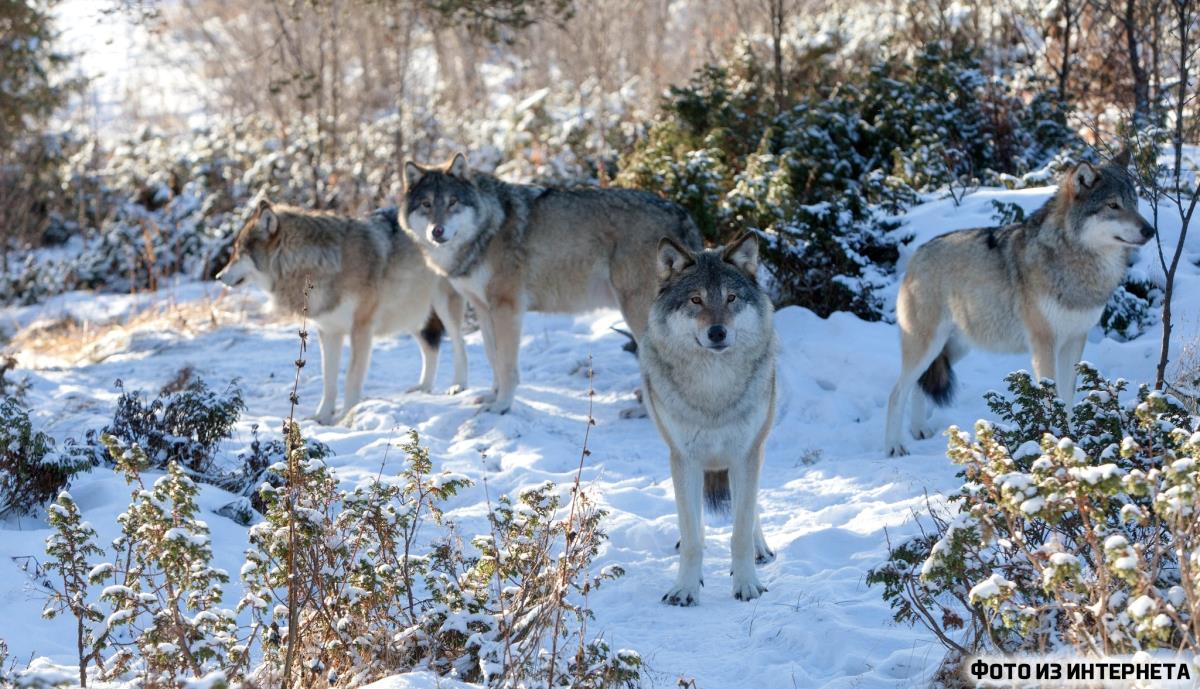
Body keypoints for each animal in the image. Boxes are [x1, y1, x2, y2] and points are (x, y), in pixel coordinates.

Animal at [213, 201, 465, 427]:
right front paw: (321, 417)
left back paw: (459, 387)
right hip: (411, 314)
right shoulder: (329, 332)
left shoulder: (361, 329)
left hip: (443, 305)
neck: (320, 264)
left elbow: (351, 379)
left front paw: (346, 417)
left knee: (459, 343)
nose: (218, 276)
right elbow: (329, 382)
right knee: (431, 347)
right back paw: (423, 388)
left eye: (238, 252)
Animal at [403, 154, 700, 415]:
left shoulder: (507, 308)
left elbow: (506, 365)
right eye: (426, 204)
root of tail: (681, 212)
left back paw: (644, 411)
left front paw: (502, 406)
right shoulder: (484, 309)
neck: (489, 228)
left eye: (453, 202)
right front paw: (492, 396)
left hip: (636, 312)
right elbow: (492, 357)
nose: (437, 231)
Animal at [638, 235, 777, 607]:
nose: (717, 332)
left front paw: (747, 585)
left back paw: (761, 548)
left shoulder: (746, 454)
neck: (713, 390)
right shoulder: (684, 458)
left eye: (731, 298)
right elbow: (692, 538)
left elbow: (740, 530)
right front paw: (685, 589)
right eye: (696, 299)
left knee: (751, 509)